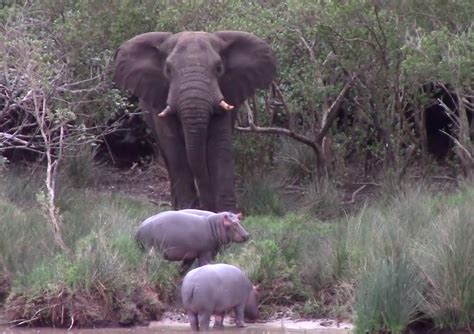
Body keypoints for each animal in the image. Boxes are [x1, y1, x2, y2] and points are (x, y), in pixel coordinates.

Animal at [114, 31, 278, 211]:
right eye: (168, 70)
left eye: (219, 68)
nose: (206, 207)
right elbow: (174, 149)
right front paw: (187, 211)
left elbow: (219, 146)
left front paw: (227, 213)